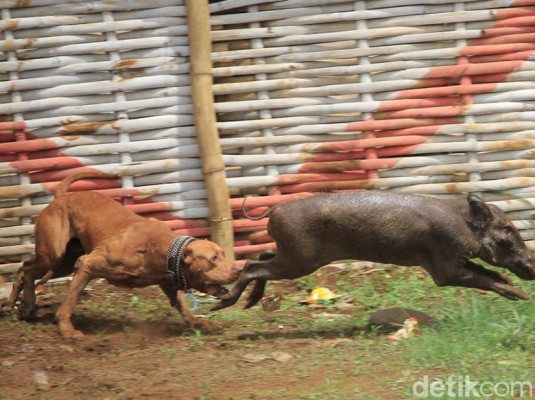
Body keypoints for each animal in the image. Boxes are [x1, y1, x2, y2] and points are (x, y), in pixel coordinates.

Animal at [0, 172, 239, 338]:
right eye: (214, 259)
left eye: (222, 254)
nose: (238, 269)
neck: (161, 249)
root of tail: (60, 197)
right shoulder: (86, 265)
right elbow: (70, 300)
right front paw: (67, 330)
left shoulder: (166, 278)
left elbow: (181, 304)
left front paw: (196, 322)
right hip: (53, 255)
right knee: (26, 268)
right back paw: (21, 304)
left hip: (63, 263)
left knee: (28, 269)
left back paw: (24, 307)